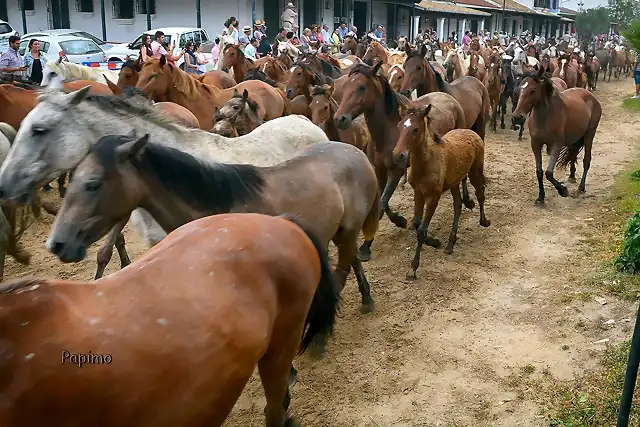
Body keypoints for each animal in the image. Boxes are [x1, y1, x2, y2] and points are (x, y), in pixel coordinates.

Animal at [390, 105, 490, 280]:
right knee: (457, 205)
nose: (398, 155)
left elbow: (421, 230)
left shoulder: (433, 197)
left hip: (475, 172)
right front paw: (434, 242)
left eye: (415, 129)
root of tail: (471, 131)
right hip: (454, 182)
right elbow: (417, 224)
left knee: (480, 194)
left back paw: (484, 220)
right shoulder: (418, 193)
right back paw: (450, 244)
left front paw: (413, 268)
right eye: (400, 126)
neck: (426, 163)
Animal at [516, 68, 600, 204]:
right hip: (575, 139)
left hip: (589, 134)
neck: (545, 116)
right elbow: (539, 172)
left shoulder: (556, 144)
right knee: (573, 154)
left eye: (533, 90)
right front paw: (541, 197)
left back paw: (580, 188)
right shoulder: (536, 144)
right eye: (519, 89)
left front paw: (563, 190)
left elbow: (549, 173)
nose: (517, 117)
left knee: (586, 160)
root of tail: (591, 96)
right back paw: (572, 176)